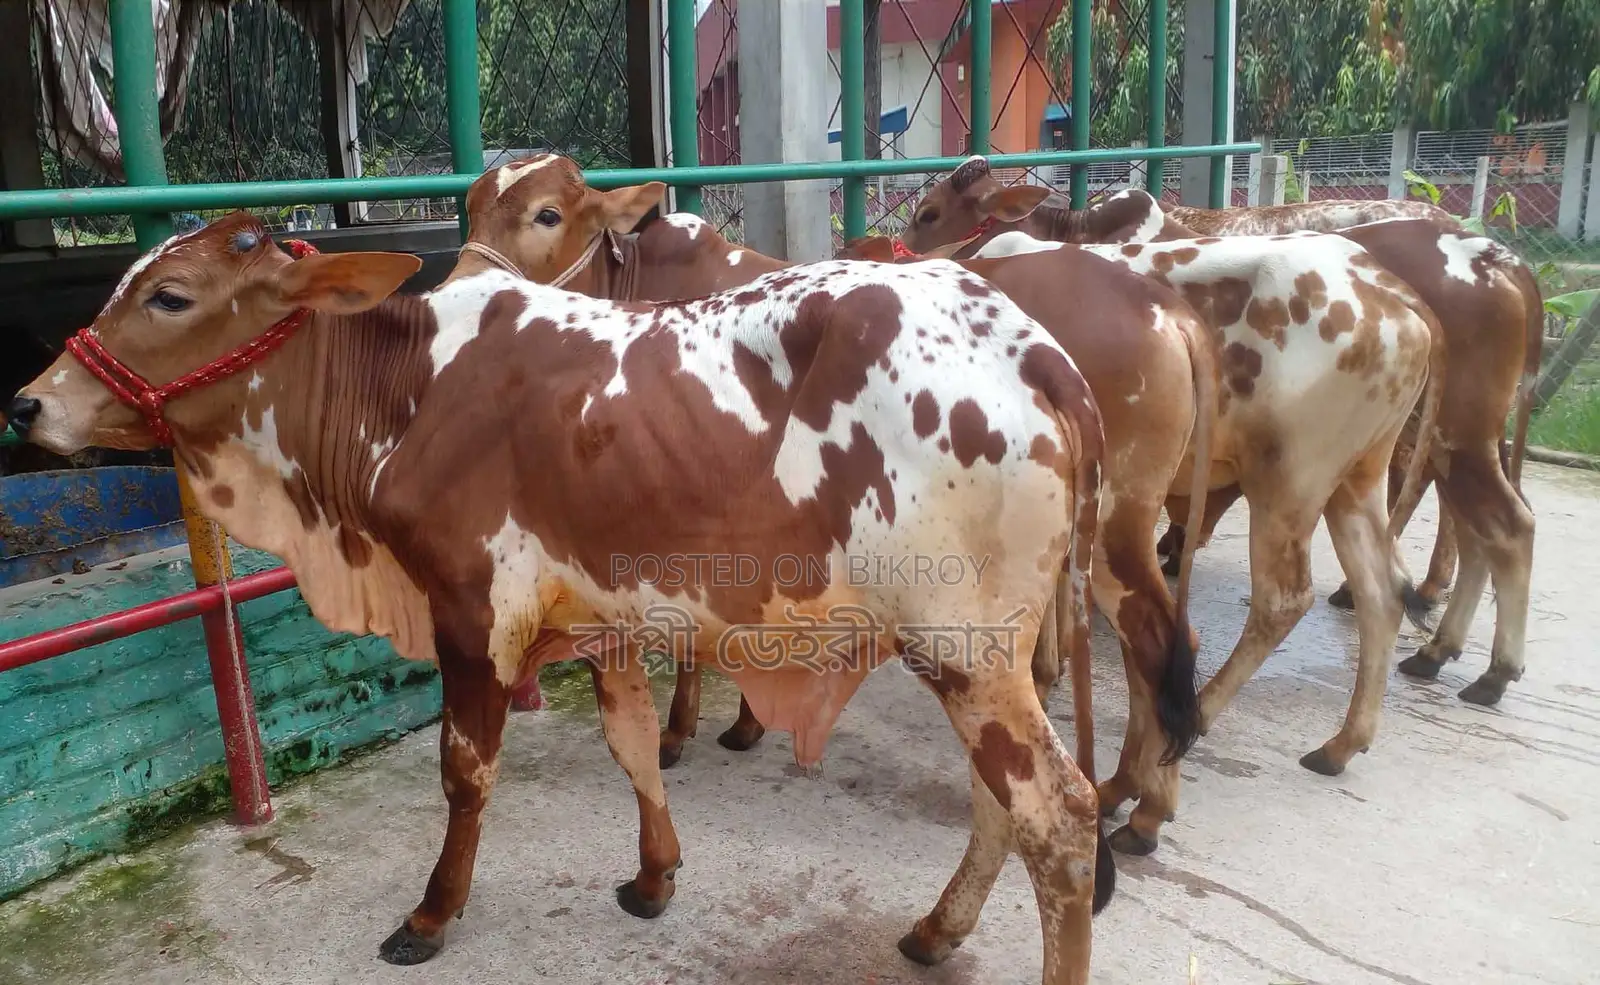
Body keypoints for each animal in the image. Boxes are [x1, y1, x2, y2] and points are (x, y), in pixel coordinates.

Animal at [7, 210, 1112, 983]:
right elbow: (631, 742)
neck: (406, 389)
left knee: (1058, 815)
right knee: (999, 801)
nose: (29, 403)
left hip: (964, 644)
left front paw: (432, 913)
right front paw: (655, 875)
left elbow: (464, 773)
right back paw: (935, 928)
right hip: (983, 655)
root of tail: (1036, 348)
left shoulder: (468, 610)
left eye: (170, 296)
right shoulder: (599, 612)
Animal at [448, 155, 1219, 859]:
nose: (465, 287)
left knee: (1159, 640)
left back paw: (1142, 804)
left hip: (1112, 527)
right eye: (471, 206)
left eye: (546, 213)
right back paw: (1129, 789)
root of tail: (1169, 312)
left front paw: (687, 729)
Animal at [904, 157, 1541, 708]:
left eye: (929, 212)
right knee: (1466, 532)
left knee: (1500, 527)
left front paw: (1047, 664)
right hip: (1424, 448)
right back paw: (1438, 653)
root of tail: (1494, 259)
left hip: (1398, 452)